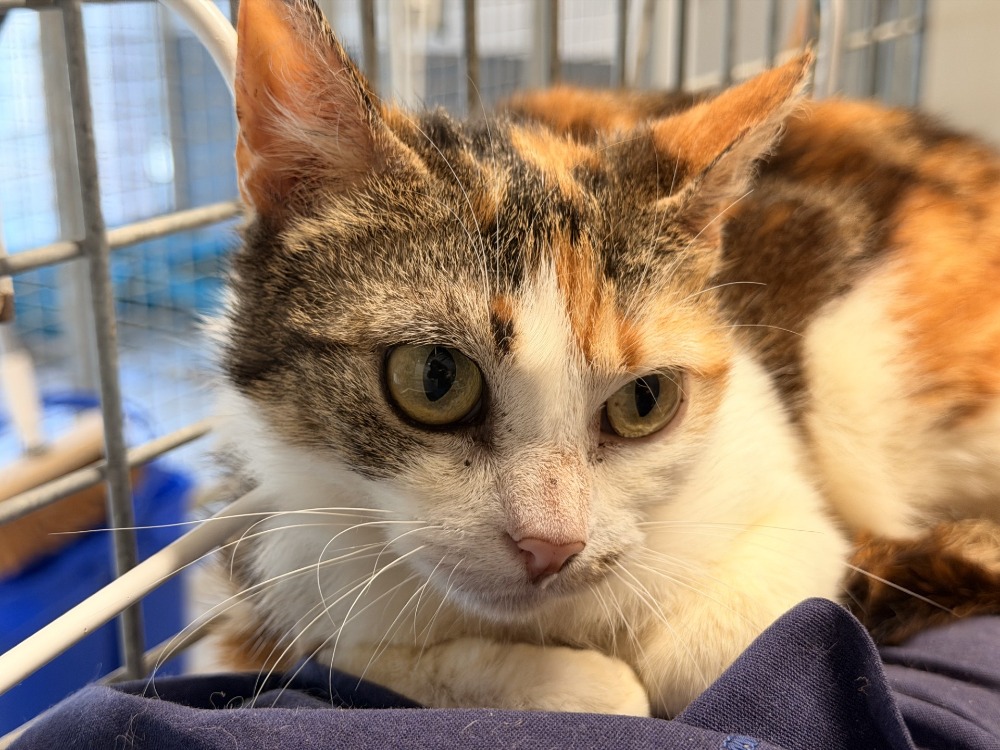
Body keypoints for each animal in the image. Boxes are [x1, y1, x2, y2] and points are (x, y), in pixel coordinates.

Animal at [209, 0, 1000, 718]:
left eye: (644, 402)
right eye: (435, 379)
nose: (549, 545)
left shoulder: (788, 500)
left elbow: (728, 643)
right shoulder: (274, 556)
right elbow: (346, 657)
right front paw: (570, 681)